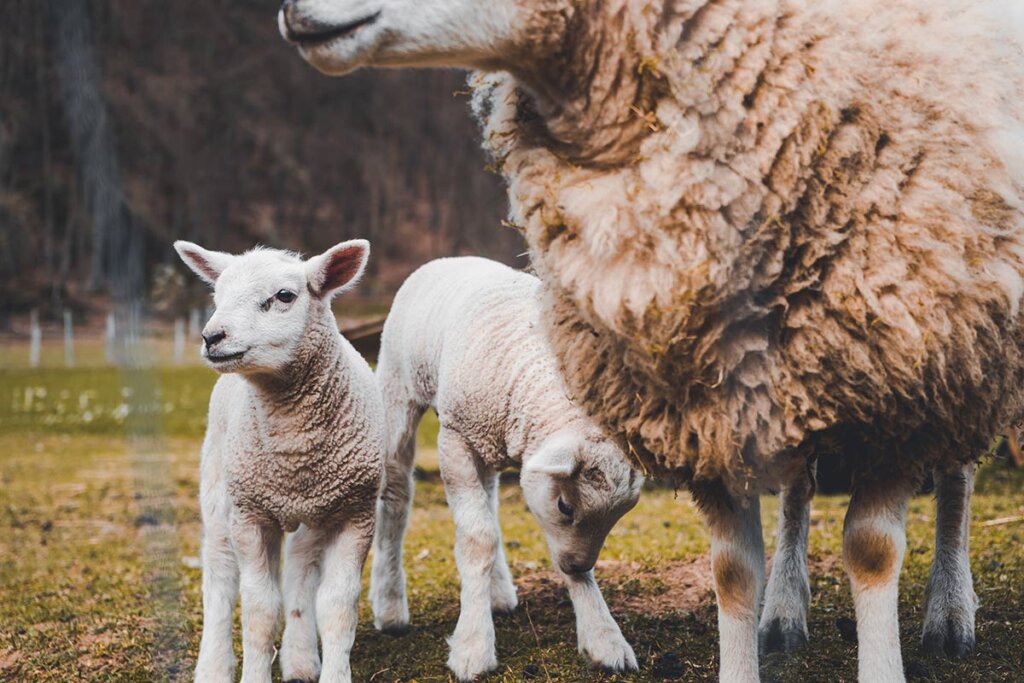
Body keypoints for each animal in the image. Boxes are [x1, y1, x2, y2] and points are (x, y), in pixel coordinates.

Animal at [176, 239, 385, 683]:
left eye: (285, 296)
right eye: (217, 297)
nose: (211, 336)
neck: (294, 449)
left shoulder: (356, 513)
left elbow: (337, 606)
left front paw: (333, 672)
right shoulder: (250, 515)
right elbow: (259, 609)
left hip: (314, 513)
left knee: (300, 571)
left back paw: (301, 659)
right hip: (220, 490)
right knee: (219, 575)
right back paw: (213, 666)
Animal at [368, 254, 638, 679]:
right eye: (565, 506)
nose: (577, 562)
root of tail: (449, 259)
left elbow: (492, 532)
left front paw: (603, 637)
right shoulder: (456, 439)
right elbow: (477, 539)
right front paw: (473, 647)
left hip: (484, 440)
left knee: (489, 503)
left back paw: (496, 592)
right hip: (399, 392)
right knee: (396, 495)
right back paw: (390, 606)